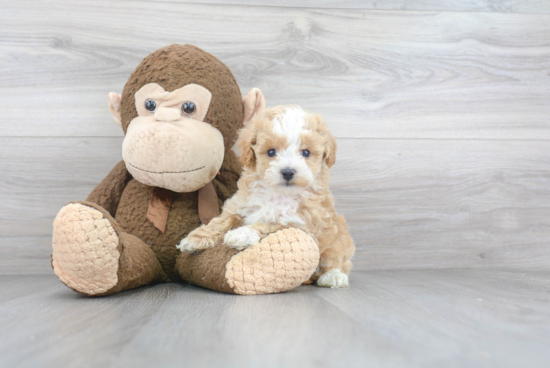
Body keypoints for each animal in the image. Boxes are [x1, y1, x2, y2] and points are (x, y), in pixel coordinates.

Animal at [179, 105, 356, 286]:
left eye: (306, 153)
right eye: (271, 152)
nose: (288, 172)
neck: (277, 194)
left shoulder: (300, 224)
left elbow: (267, 225)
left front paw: (240, 234)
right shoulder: (240, 204)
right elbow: (222, 221)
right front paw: (195, 238)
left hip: (338, 237)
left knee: (337, 258)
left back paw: (334, 276)